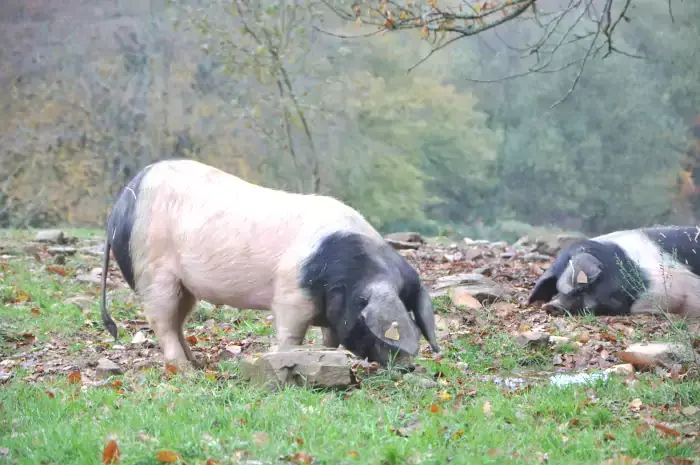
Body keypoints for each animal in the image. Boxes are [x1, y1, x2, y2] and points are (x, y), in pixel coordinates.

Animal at [98, 158, 440, 368]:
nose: (408, 365)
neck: (343, 270)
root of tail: (118, 208)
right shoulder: (290, 295)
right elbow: (291, 334)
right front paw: (283, 358)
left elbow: (330, 339)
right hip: (151, 269)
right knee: (162, 321)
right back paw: (185, 370)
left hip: (184, 285)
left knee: (178, 321)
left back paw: (196, 361)